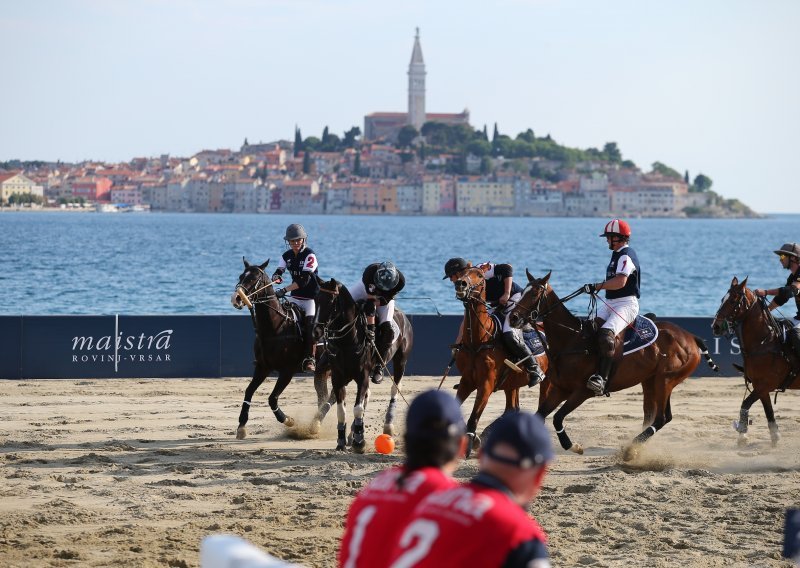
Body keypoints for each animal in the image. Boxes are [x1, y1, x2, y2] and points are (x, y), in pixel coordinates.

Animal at [230, 260, 332, 442]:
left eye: (254, 278)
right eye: (241, 276)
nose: (236, 298)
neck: (275, 327)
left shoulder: (287, 371)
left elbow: (272, 398)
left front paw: (289, 420)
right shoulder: (262, 367)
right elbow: (248, 391)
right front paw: (241, 426)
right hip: (321, 372)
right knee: (324, 396)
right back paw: (316, 424)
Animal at [314, 278, 412, 452]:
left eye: (331, 301)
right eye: (316, 300)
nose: (316, 331)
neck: (348, 341)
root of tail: (403, 316)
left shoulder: (363, 376)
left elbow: (357, 408)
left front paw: (359, 442)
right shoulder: (338, 377)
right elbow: (341, 410)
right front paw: (341, 441)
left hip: (401, 360)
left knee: (395, 388)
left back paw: (387, 426)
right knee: (368, 395)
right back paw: (351, 434)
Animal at [506, 270, 720, 462]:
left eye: (534, 293)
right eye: (523, 291)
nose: (513, 318)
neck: (572, 340)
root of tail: (691, 337)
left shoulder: (582, 392)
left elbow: (558, 417)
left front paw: (573, 446)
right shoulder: (560, 389)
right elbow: (540, 415)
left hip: (665, 380)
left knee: (661, 417)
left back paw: (631, 450)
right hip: (651, 381)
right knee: (653, 416)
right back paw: (636, 449)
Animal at [708, 278, 796, 448]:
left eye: (733, 300)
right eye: (722, 299)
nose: (715, 326)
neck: (764, 343)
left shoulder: (766, 384)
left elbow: (745, 404)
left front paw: (742, 433)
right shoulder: (760, 387)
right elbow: (769, 412)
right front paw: (774, 437)